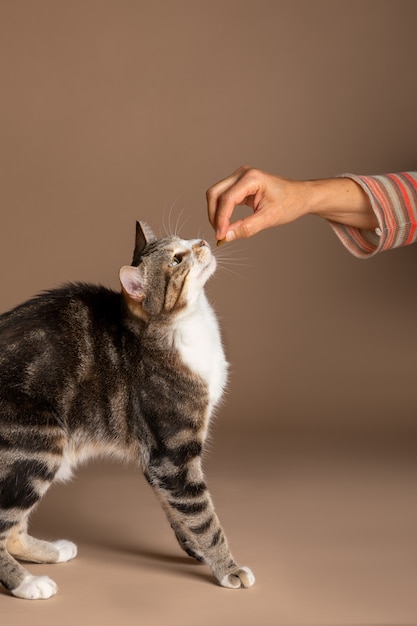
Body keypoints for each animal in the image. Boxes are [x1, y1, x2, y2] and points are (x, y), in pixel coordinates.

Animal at [0, 222, 254, 596]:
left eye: (184, 242)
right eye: (177, 260)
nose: (203, 241)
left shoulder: (156, 456)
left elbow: (177, 507)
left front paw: (194, 548)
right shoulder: (174, 451)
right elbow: (202, 514)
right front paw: (227, 567)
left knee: (14, 530)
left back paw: (52, 552)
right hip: (39, 442)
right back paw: (27, 584)